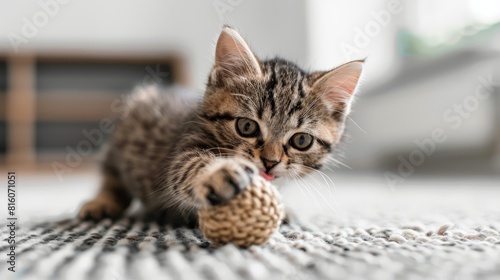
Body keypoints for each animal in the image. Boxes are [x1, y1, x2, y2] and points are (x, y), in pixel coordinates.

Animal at [80, 27, 366, 226]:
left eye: (302, 141)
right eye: (247, 127)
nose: (270, 162)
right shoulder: (183, 149)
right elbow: (188, 167)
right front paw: (219, 173)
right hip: (123, 135)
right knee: (112, 176)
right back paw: (102, 202)